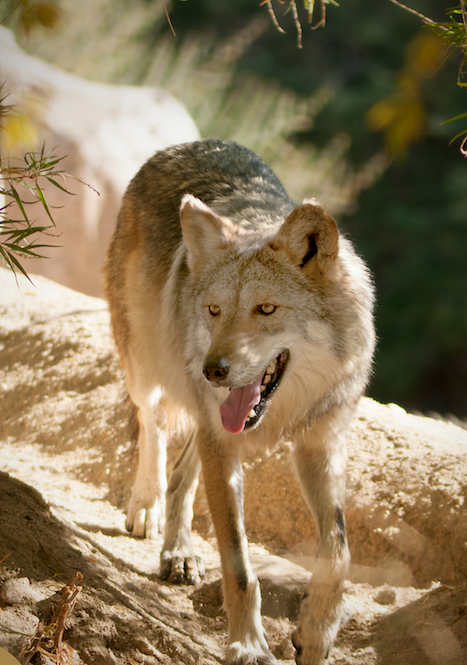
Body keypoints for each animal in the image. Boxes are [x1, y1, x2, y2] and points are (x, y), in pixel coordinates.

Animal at [104, 139, 375, 665]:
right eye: (213, 310)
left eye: (265, 309)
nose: (212, 370)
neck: (283, 410)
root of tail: (182, 146)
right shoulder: (224, 444)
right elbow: (240, 566)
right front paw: (248, 645)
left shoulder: (319, 445)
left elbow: (339, 551)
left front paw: (317, 631)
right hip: (146, 369)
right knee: (154, 426)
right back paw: (146, 506)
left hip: (206, 419)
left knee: (183, 472)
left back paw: (179, 552)